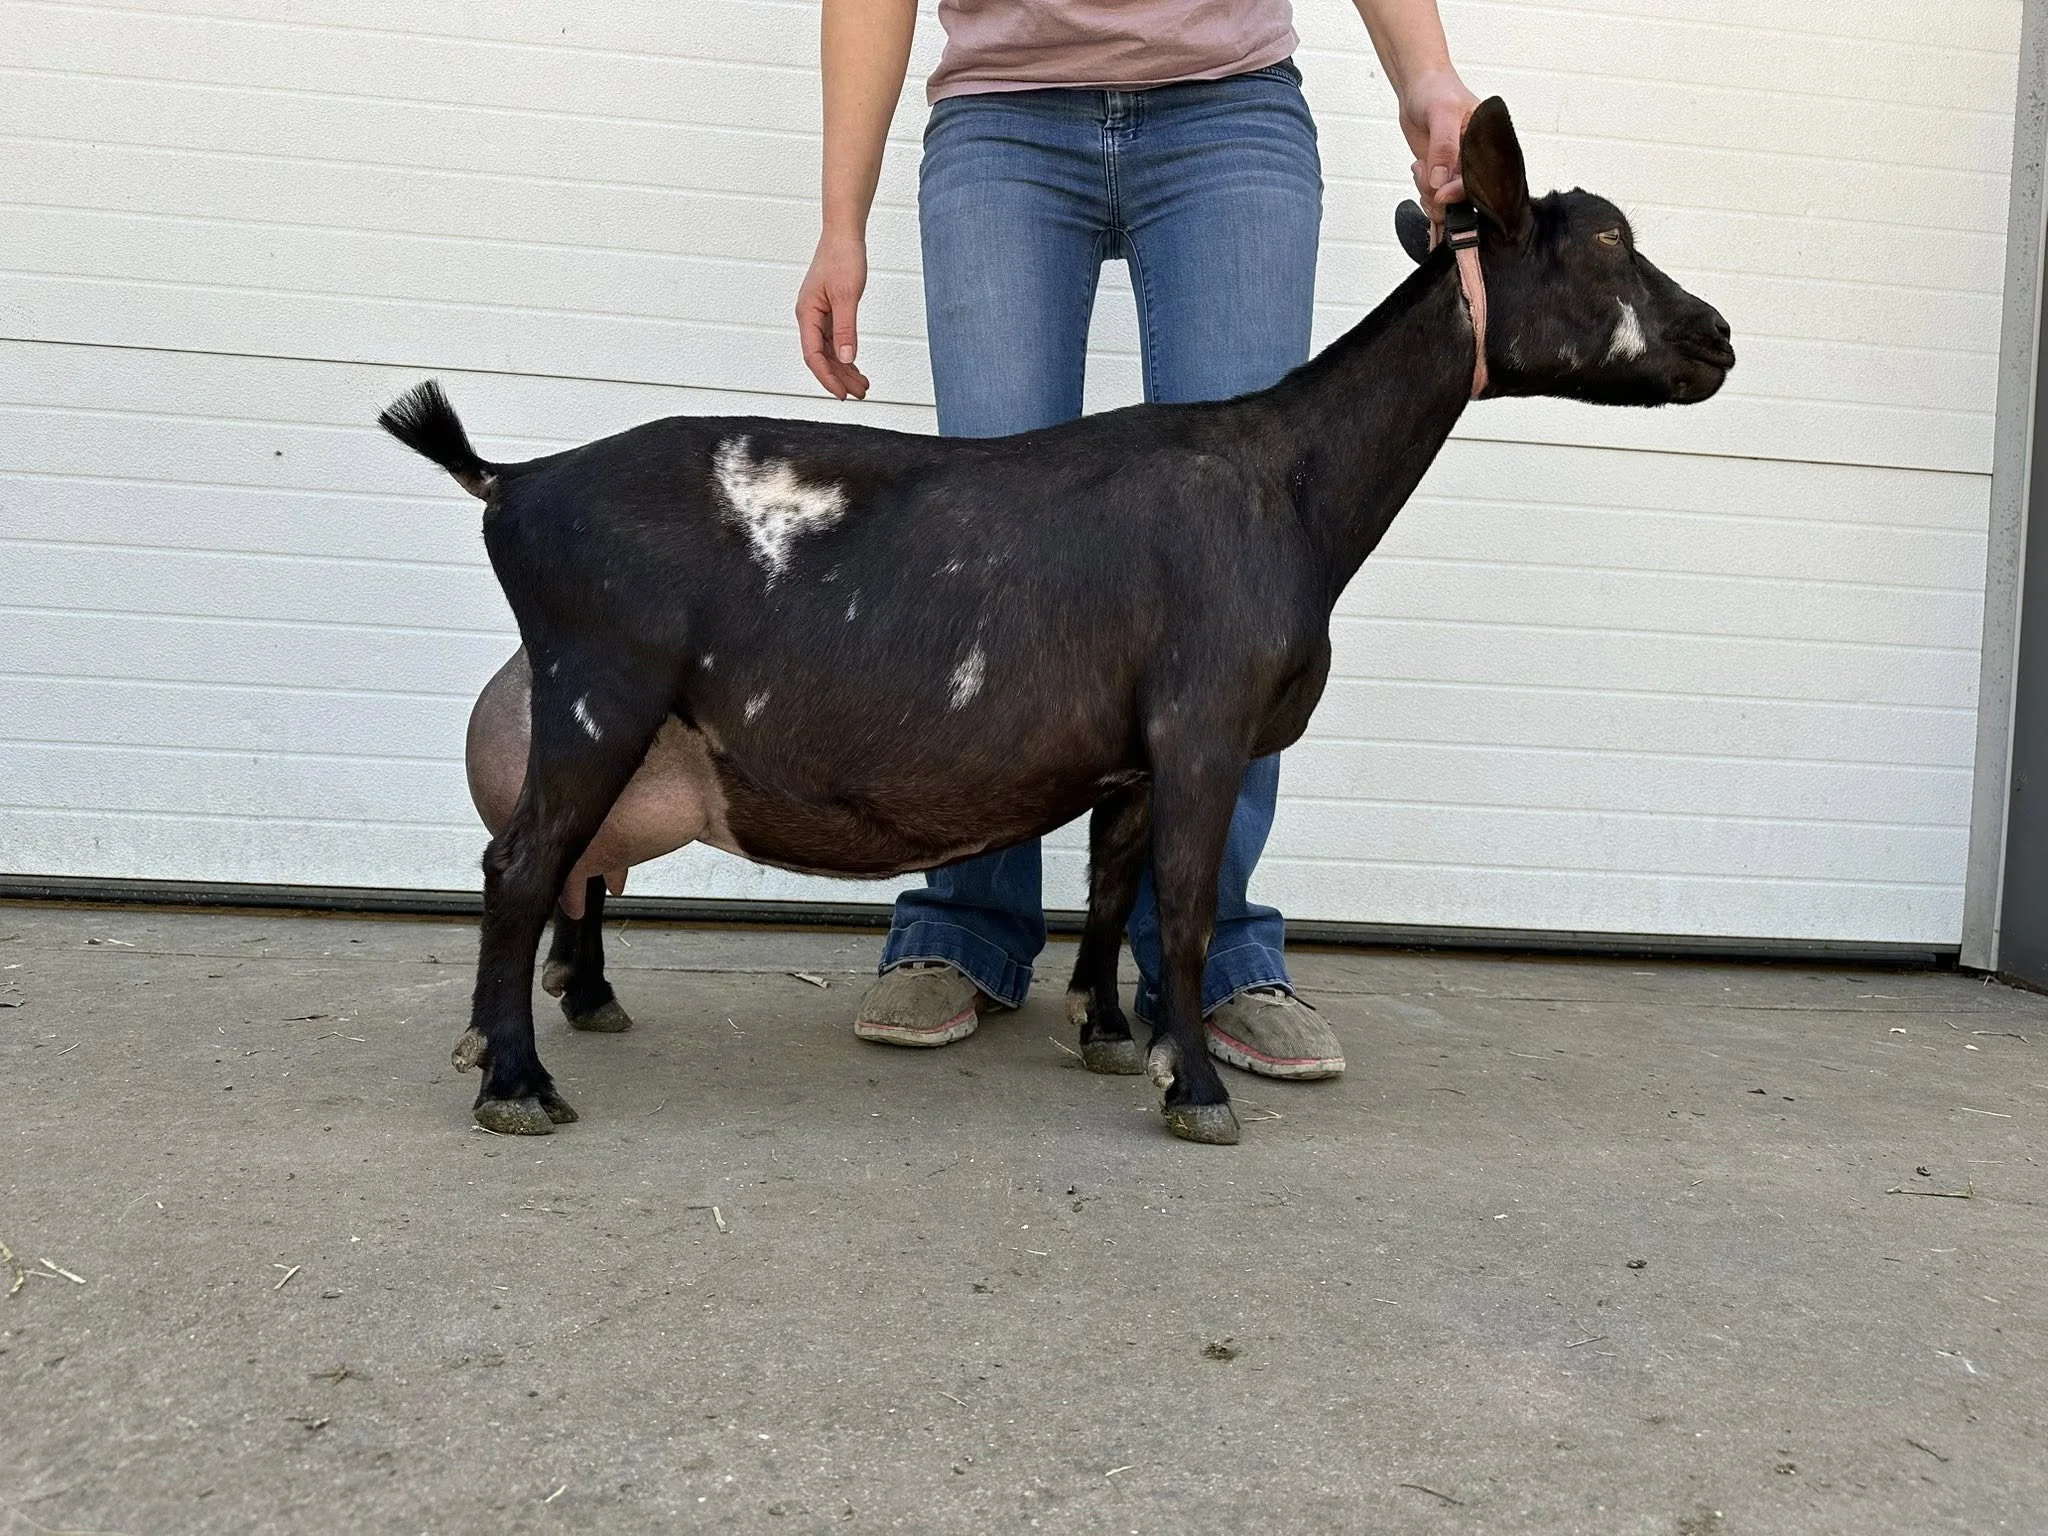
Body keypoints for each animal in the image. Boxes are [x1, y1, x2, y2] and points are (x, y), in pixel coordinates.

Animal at [381, 100, 1734, 1144]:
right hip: (598, 685)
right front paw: (1196, 1092)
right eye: (1608, 239)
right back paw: (516, 1083)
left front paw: (1107, 1034)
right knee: (521, 864)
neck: (1289, 483)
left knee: (566, 867)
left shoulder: (1133, 748)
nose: (1716, 335)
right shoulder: (1203, 718)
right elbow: (1178, 909)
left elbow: (1113, 880)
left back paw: (556, 1019)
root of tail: (516, 481)